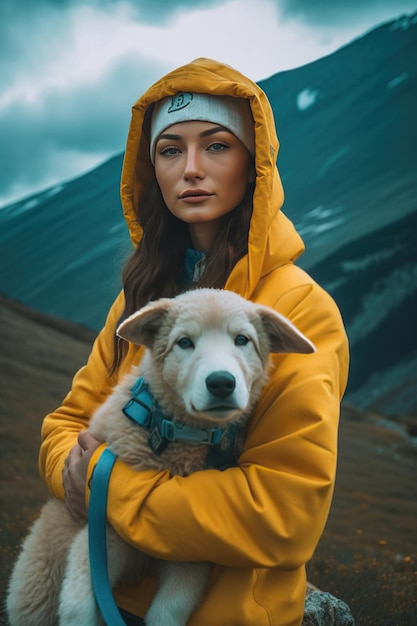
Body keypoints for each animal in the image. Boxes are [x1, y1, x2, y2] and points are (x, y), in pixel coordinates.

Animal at [6, 288, 314, 624]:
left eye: (242, 339)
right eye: (184, 342)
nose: (221, 382)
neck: (183, 435)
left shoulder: (191, 554)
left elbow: (168, 611)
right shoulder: (103, 533)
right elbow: (79, 603)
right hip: (38, 584)